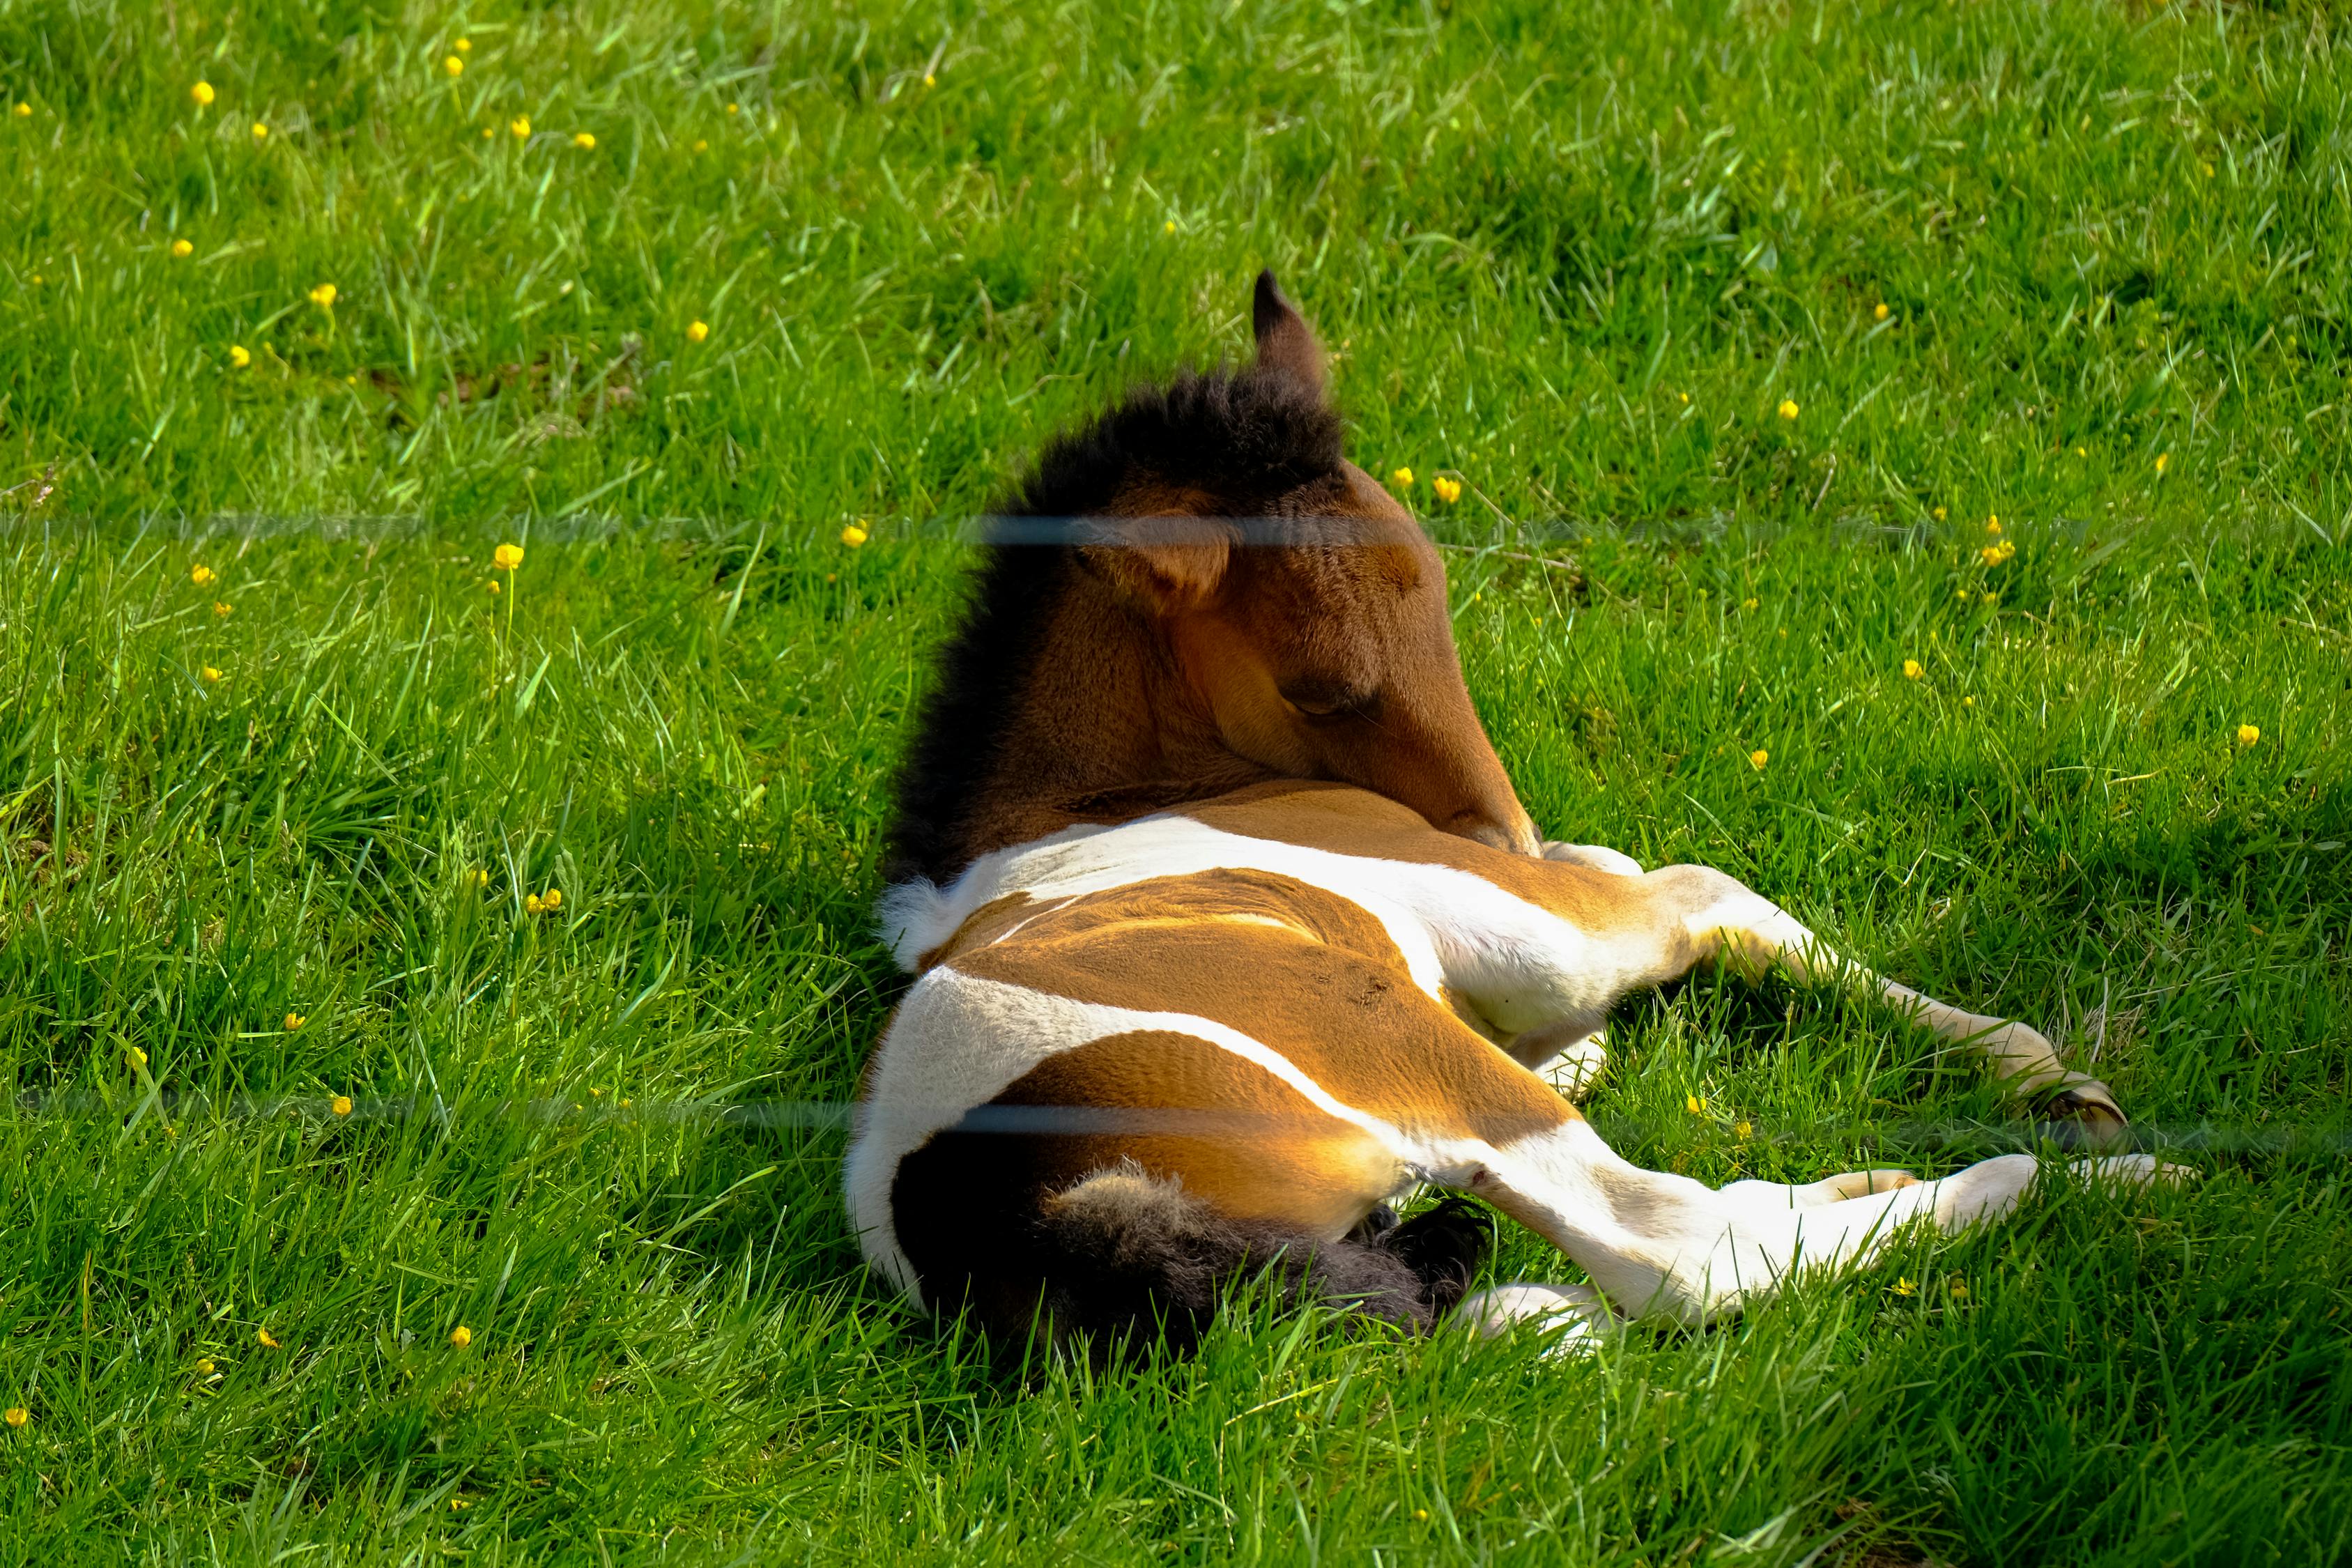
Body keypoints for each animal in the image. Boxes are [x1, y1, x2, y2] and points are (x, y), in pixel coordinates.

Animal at [851, 276, 2164, 1354]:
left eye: (1431, 576)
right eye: (1325, 687)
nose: (1500, 830)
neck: (1081, 815)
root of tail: (1006, 1207)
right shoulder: (1512, 919)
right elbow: (1691, 893)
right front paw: (2047, 1076)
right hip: (1395, 1040)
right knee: (1674, 1240)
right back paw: (2067, 1182)